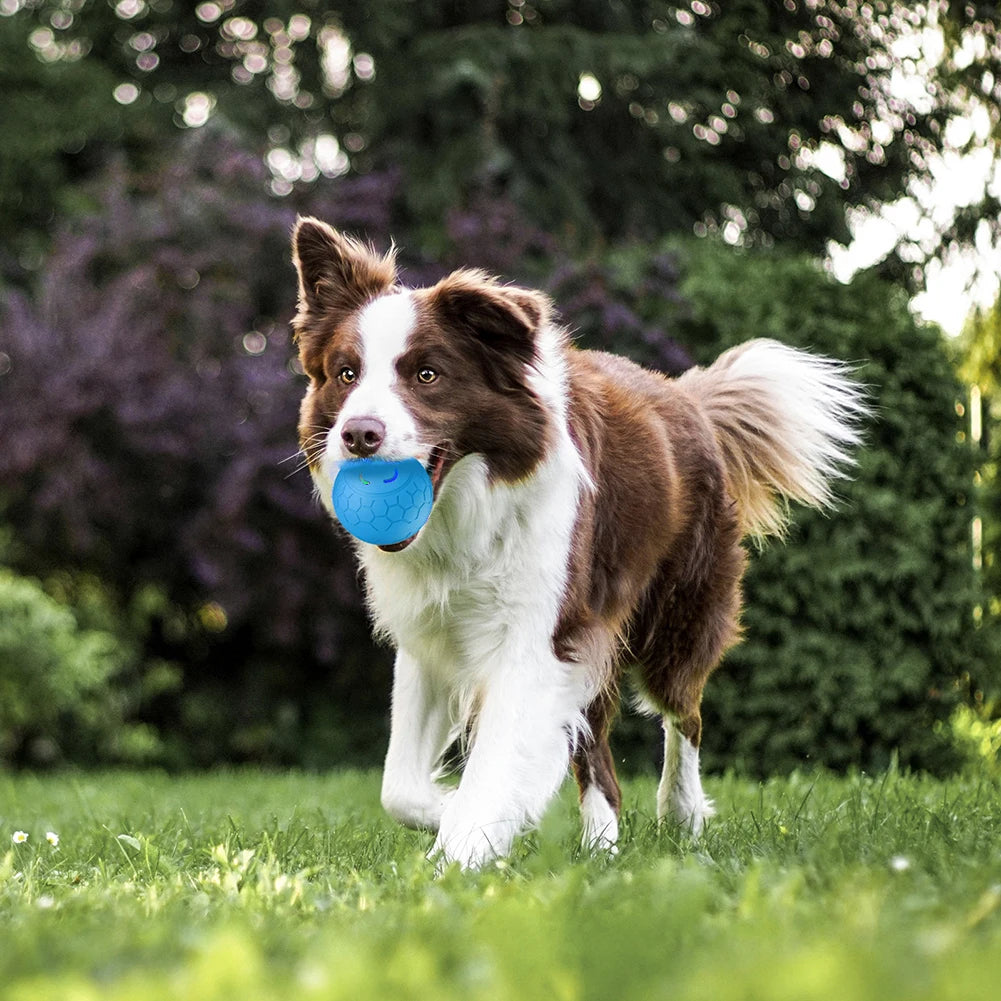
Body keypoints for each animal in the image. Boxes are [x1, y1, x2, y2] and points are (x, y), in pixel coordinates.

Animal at [292, 217, 868, 868]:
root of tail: (687, 397)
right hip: (595, 633)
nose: (358, 435)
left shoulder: (538, 635)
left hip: (675, 615)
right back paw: (601, 846)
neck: (466, 513)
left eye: (427, 375)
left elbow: (494, 763)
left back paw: (681, 813)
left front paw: (463, 849)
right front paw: (462, 816)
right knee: (598, 755)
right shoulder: (433, 635)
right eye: (346, 374)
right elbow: (400, 788)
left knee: (684, 713)